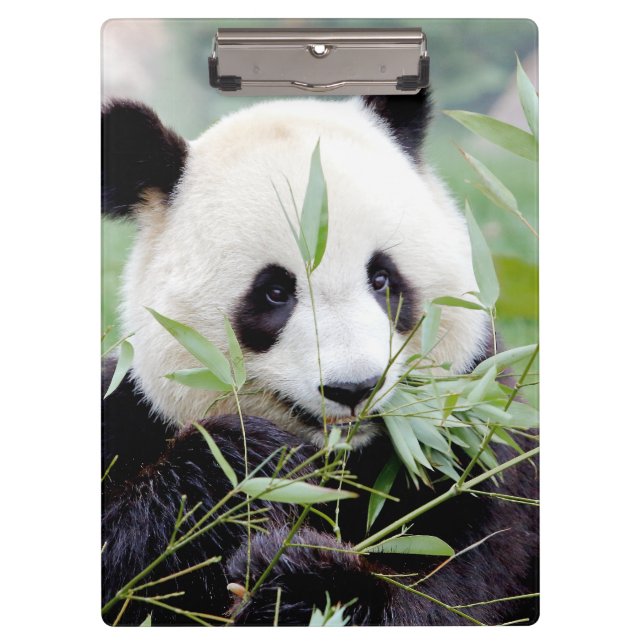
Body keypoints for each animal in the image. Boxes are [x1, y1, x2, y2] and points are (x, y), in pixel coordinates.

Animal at [101, 90, 538, 626]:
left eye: (382, 278)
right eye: (274, 292)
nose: (354, 387)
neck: (348, 465)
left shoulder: (481, 447)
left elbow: (459, 594)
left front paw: (300, 580)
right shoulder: (129, 417)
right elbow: (123, 560)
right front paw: (259, 463)